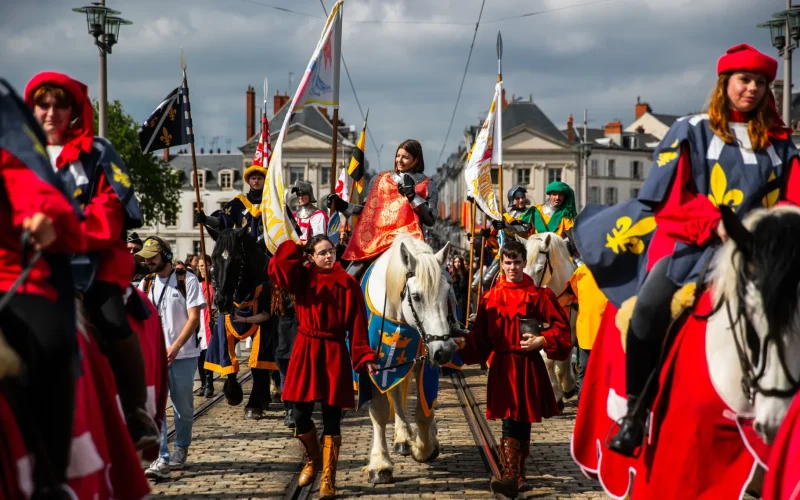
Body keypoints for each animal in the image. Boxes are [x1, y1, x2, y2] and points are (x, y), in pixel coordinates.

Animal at [362, 234, 456, 484]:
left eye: (447, 293)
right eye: (416, 296)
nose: (445, 351)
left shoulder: (425, 359)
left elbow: (424, 408)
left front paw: (424, 448)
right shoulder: (376, 366)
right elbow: (379, 411)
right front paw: (380, 464)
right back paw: (402, 437)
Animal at [516, 232, 580, 408]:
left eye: (539, 269)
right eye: (523, 266)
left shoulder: (570, 329)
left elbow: (563, 357)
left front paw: (566, 388)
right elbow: (547, 359)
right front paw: (556, 395)